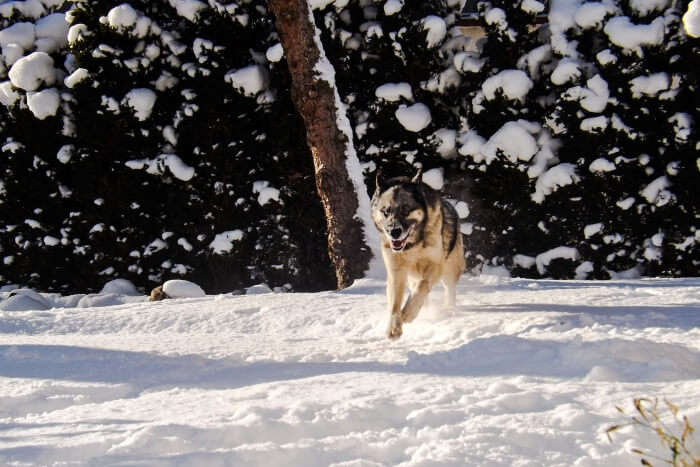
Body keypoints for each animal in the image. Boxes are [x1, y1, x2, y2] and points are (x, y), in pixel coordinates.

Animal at [372, 168, 464, 340]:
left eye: (405, 210)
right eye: (386, 212)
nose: (394, 232)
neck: (412, 245)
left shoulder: (435, 266)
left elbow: (422, 286)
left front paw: (408, 314)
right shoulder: (396, 271)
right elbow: (395, 304)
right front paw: (394, 328)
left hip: (449, 269)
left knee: (449, 289)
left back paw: (448, 309)